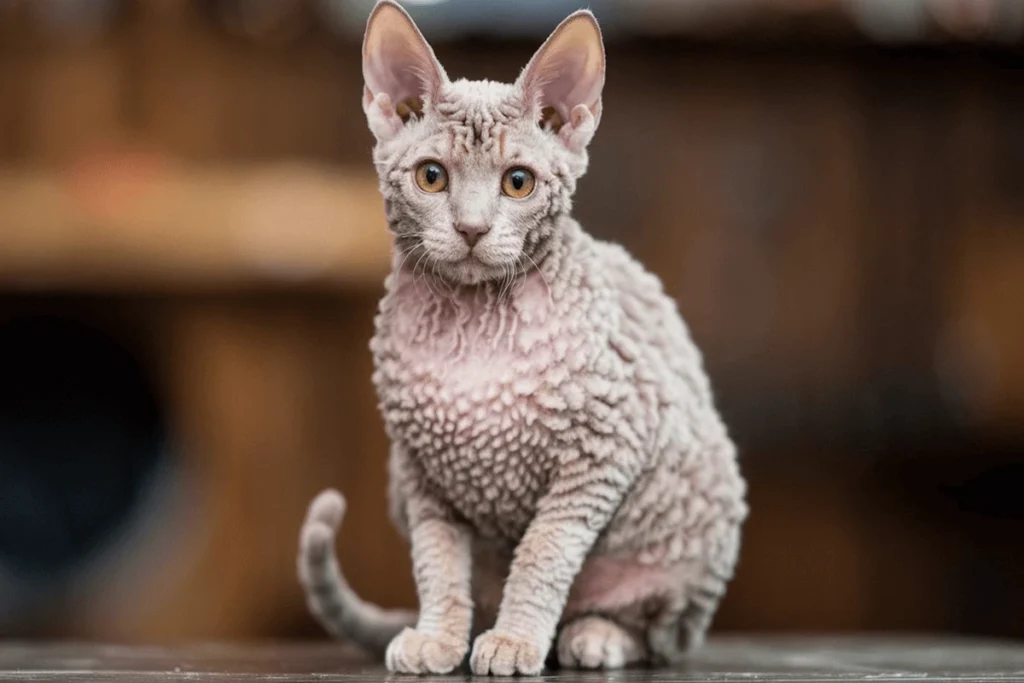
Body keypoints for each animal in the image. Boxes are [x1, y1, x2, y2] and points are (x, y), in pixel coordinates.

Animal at [296, 0, 745, 671]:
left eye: (518, 182)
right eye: (432, 177)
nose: (472, 228)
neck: (474, 328)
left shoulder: (606, 447)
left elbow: (543, 554)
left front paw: (512, 641)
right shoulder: (423, 474)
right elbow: (437, 563)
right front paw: (439, 637)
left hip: (697, 519)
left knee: (660, 633)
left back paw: (593, 636)